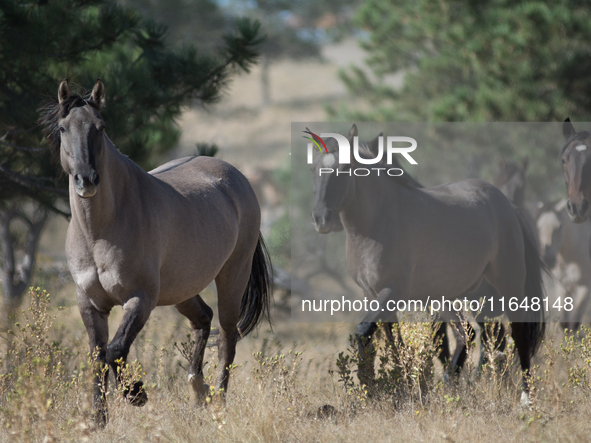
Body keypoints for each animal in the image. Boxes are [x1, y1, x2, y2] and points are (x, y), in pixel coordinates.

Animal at [39, 80, 272, 426]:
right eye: (62, 128)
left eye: (100, 127)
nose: (87, 180)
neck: (100, 231)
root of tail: (237, 178)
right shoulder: (90, 303)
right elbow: (97, 356)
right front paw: (98, 419)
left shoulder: (140, 299)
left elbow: (115, 350)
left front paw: (136, 394)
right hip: (181, 289)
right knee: (203, 319)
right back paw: (198, 390)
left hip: (232, 277)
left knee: (227, 339)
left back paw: (217, 402)